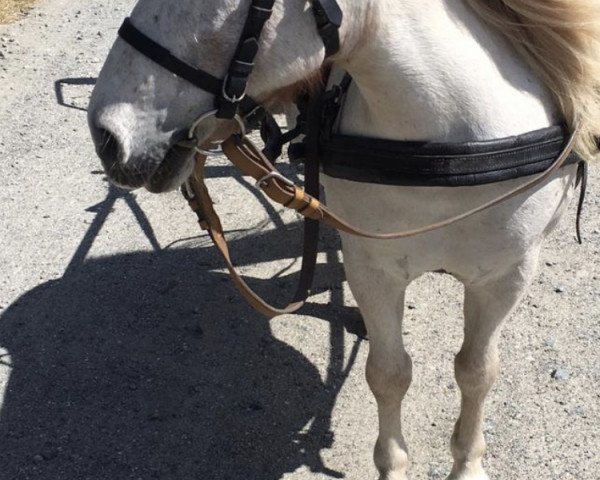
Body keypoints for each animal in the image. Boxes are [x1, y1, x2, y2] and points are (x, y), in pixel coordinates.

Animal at [88, 0, 600, 480]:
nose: (106, 134)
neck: (448, 150)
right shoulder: (375, 269)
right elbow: (389, 374)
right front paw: (393, 465)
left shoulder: (504, 276)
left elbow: (476, 371)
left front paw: (467, 464)